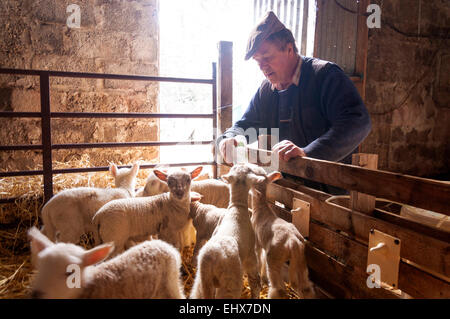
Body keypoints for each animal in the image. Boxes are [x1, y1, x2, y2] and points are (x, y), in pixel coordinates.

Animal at [191, 164, 262, 302]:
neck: (237, 207)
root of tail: (210, 258)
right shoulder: (251, 255)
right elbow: (254, 282)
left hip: (202, 282)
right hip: (229, 284)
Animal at [246, 165, 316, 300]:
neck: (260, 208)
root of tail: (293, 242)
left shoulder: (257, 243)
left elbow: (260, 260)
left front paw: (260, 279)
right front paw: (263, 279)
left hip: (274, 258)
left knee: (279, 289)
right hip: (301, 259)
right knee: (305, 287)